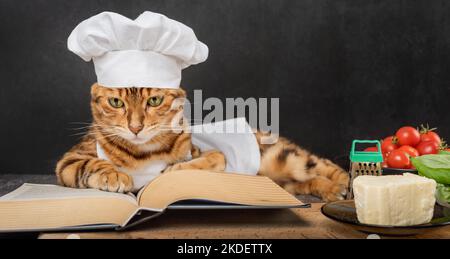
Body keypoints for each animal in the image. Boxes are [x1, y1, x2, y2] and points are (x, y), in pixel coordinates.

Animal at [55, 84, 348, 202]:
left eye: (154, 100)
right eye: (116, 102)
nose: (135, 127)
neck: (145, 151)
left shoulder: (203, 149)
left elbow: (212, 157)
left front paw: (173, 171)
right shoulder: (70, 160)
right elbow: (91, 164)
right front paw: (115, 175)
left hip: (281, 156)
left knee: (319, 163)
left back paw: (344, 183)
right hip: (283, 179)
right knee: (306, 181)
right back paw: (332, 190)